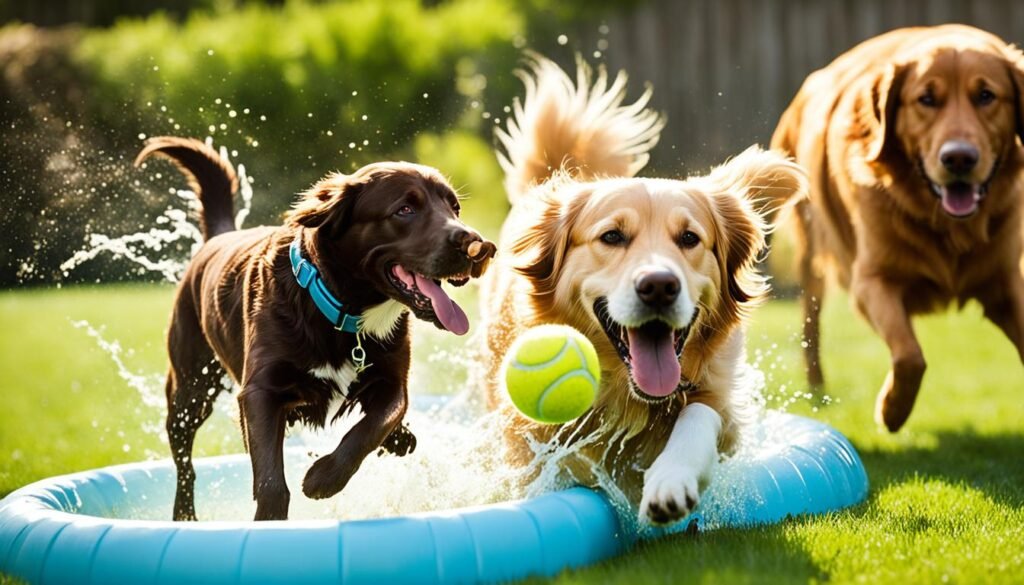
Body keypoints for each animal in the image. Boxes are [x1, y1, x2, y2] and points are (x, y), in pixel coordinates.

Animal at [770, 25, 1019, 432]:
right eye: (926, 99)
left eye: (986, 96)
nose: (959, 159)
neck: (947, 227)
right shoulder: (871, 280)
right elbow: (909, 355)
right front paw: (892, 410)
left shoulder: (1005, 282)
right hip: (811, 254)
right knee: (810, 323)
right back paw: (817, 387)